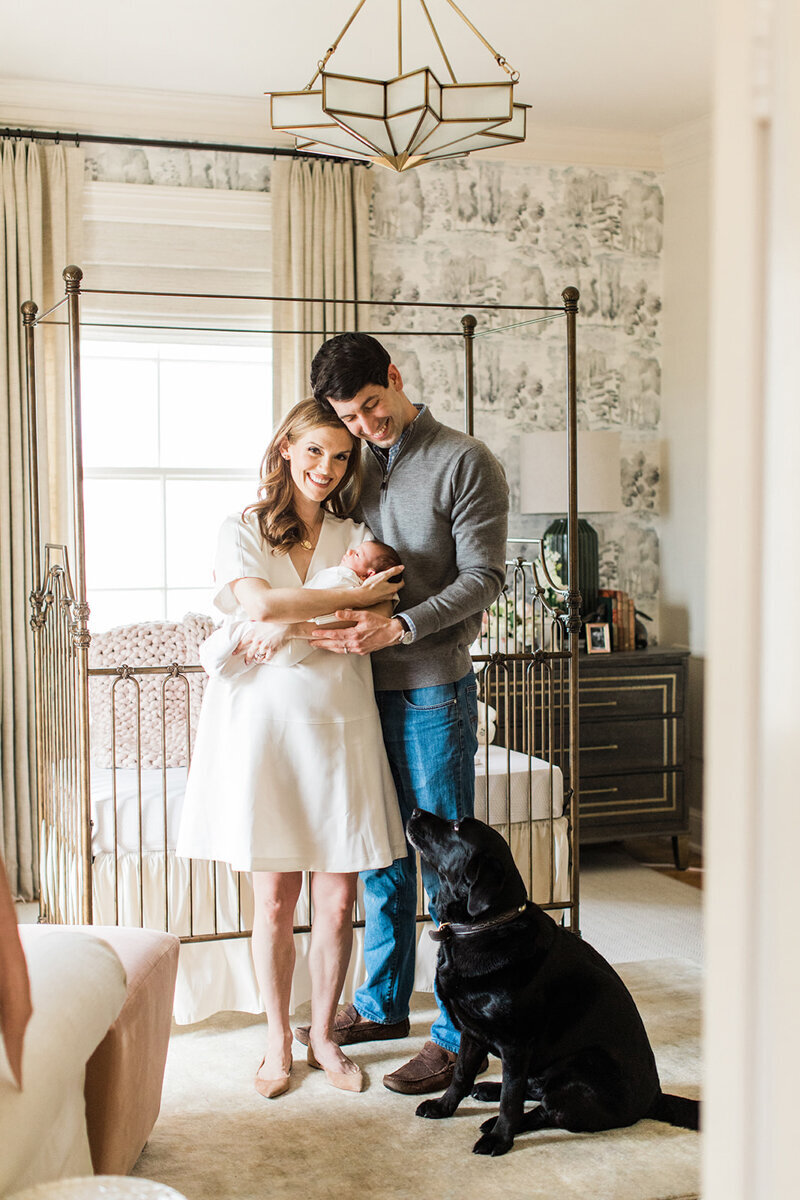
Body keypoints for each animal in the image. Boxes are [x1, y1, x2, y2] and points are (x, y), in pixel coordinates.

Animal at [410, 811, 695, 1156]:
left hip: (583, 1065)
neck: (484, 927)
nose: (414, 812)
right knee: (531, 1090)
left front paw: (500, 1139)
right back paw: (489, 1088)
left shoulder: (516, 1044)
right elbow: (461, 1076)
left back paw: (494, 1123)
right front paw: (443, 1107)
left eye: (456, 827)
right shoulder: (471, 1032)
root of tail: (655, 1099)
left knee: (544, 1109)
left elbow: (510, 1101)